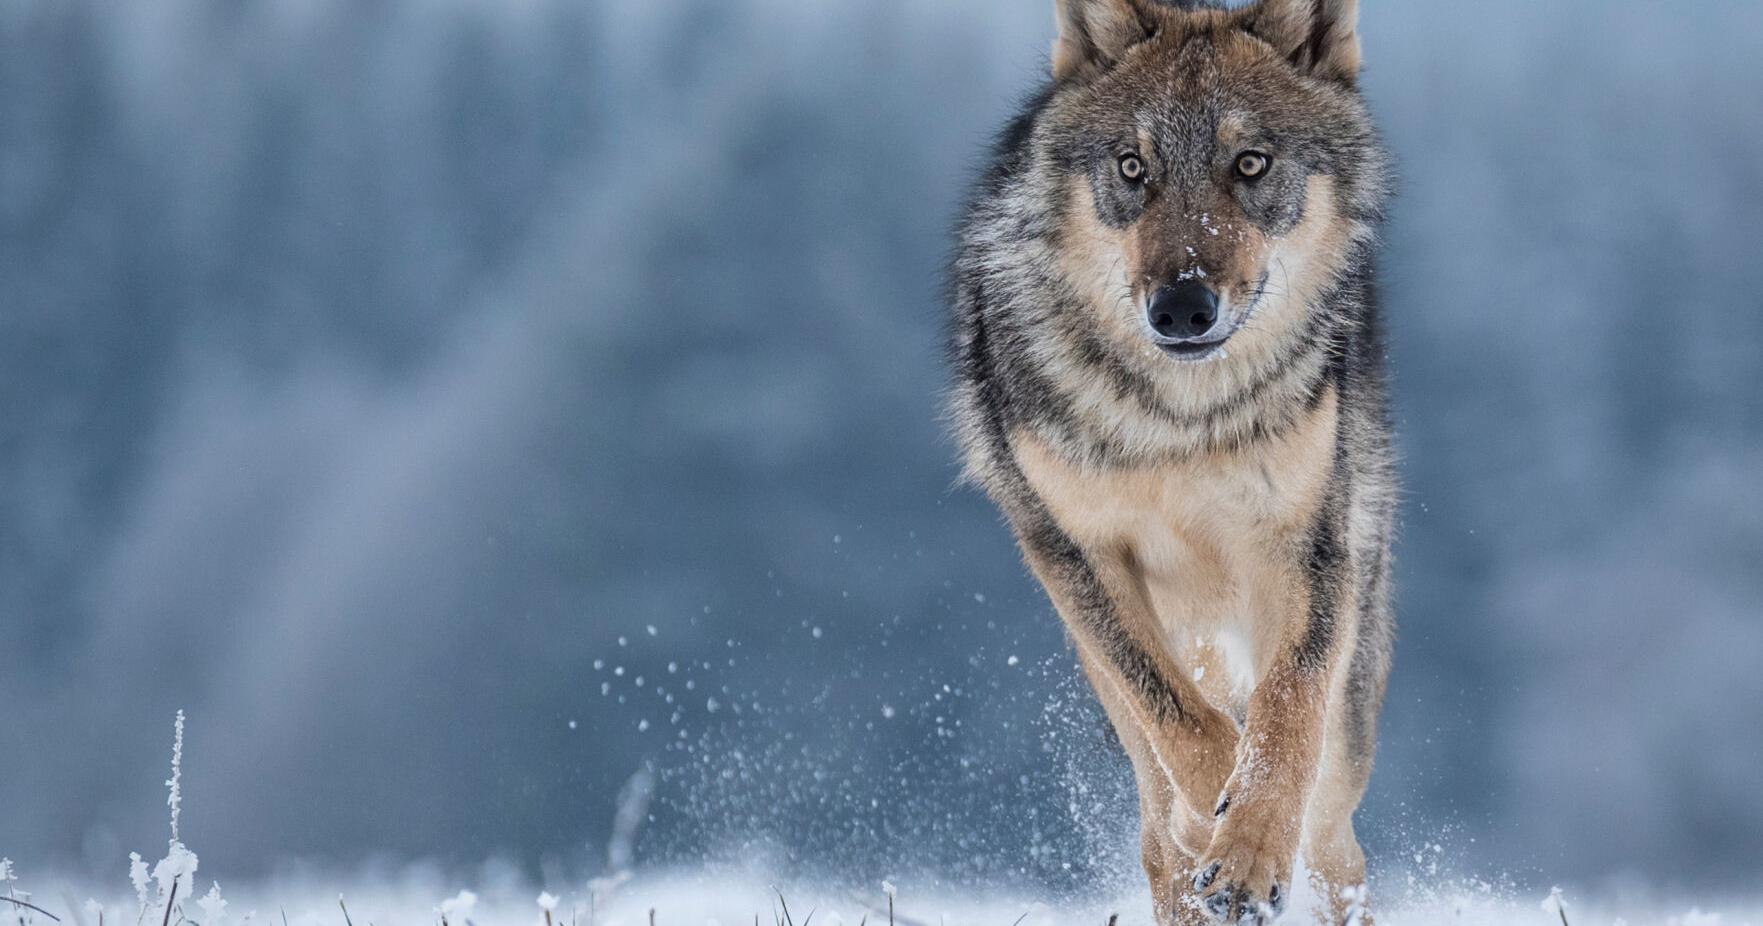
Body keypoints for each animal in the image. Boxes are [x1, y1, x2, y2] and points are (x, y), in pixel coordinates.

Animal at [947, 0, 1394, 922]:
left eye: (1249, 164)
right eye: (1132, 168)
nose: (1182, 308)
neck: (1177, 424)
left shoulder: (1306, 548)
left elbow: (1285, 716)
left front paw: (1249, 847)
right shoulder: (1075, 554)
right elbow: (1179, 723)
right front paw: (1212, 826)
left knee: (1337, 845)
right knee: (1155, 809)